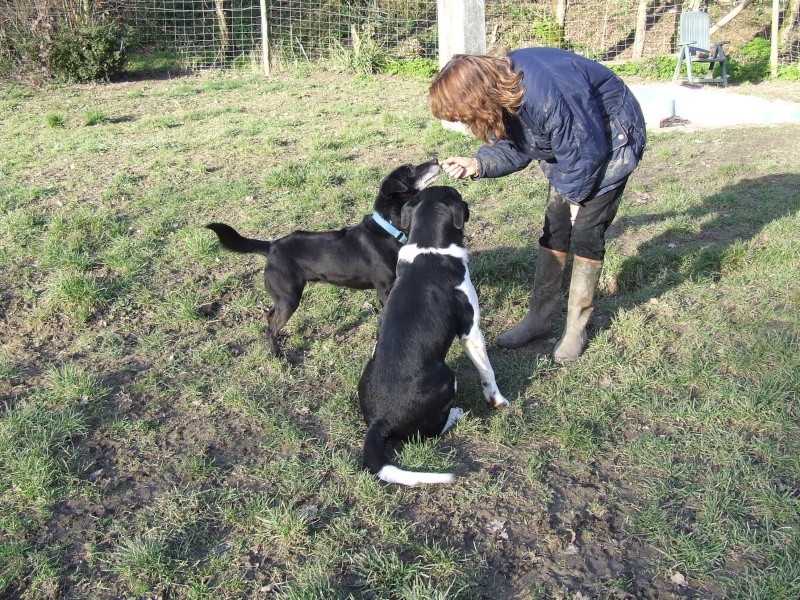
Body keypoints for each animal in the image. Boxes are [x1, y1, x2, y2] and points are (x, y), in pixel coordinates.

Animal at [206, 159, 440, 356]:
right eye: (409, 170)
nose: (436, 159)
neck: (388, 229)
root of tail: (272, 246)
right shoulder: (384, 289)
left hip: (283, 296)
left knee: (270, 315)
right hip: (289, 297)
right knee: (271, 327)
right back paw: (279, 355)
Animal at [360, 185, 510, 486]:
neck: (429, 248)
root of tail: (380, 420)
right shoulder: (470, 330)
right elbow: (487, 372)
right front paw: (497, 400)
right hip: (447, 378)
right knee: (430, 433)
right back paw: (456, 414)